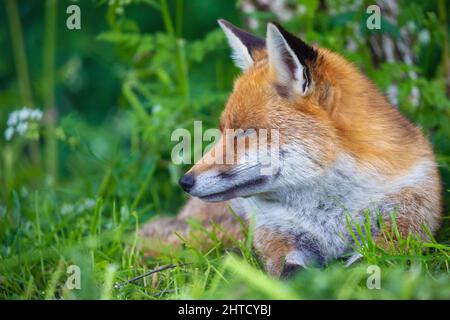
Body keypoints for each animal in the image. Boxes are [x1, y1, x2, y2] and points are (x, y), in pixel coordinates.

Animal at [140, 20, 440, 278]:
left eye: (245, 132)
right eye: (223, 131)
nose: (185, 182)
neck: (328, 215)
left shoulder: (406, 223)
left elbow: (365, 265)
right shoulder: (275, 235)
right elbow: (290, 275)